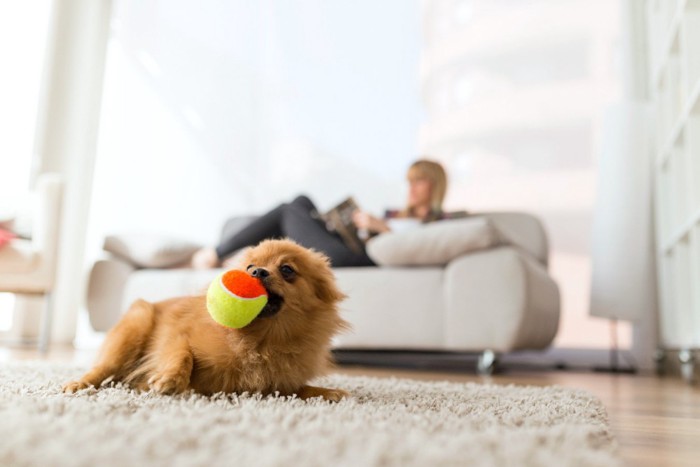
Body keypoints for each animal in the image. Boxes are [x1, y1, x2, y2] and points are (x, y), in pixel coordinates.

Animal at [64, 241, 348, 402]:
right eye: (250, 267)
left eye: (287, 270)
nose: (257, 272)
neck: (264, 338)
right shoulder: (176, 335)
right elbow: (182, 353)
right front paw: (170, 379)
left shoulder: (276, 386)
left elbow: (299, 389)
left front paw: (325, 393)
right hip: (136, 323)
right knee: (102, 368)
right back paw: (78, 384)